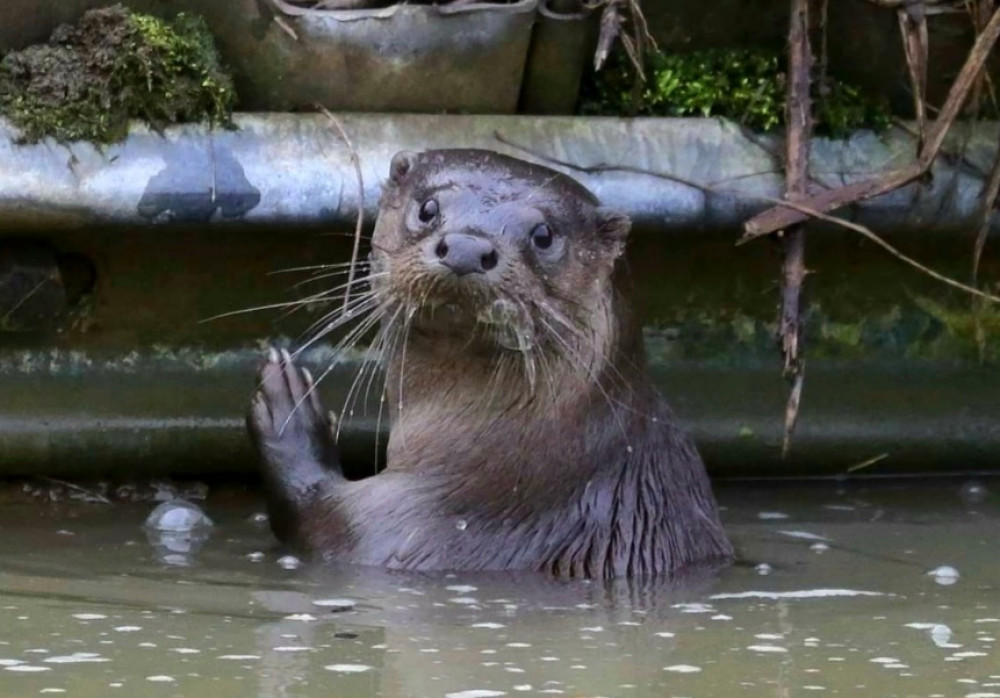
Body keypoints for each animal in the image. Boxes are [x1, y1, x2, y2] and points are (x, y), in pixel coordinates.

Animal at [248, 150, 736, 580]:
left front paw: (289, 404)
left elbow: (312, 519)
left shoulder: (408, 528)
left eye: (544, 234)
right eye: (428, 208)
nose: (466, 247)